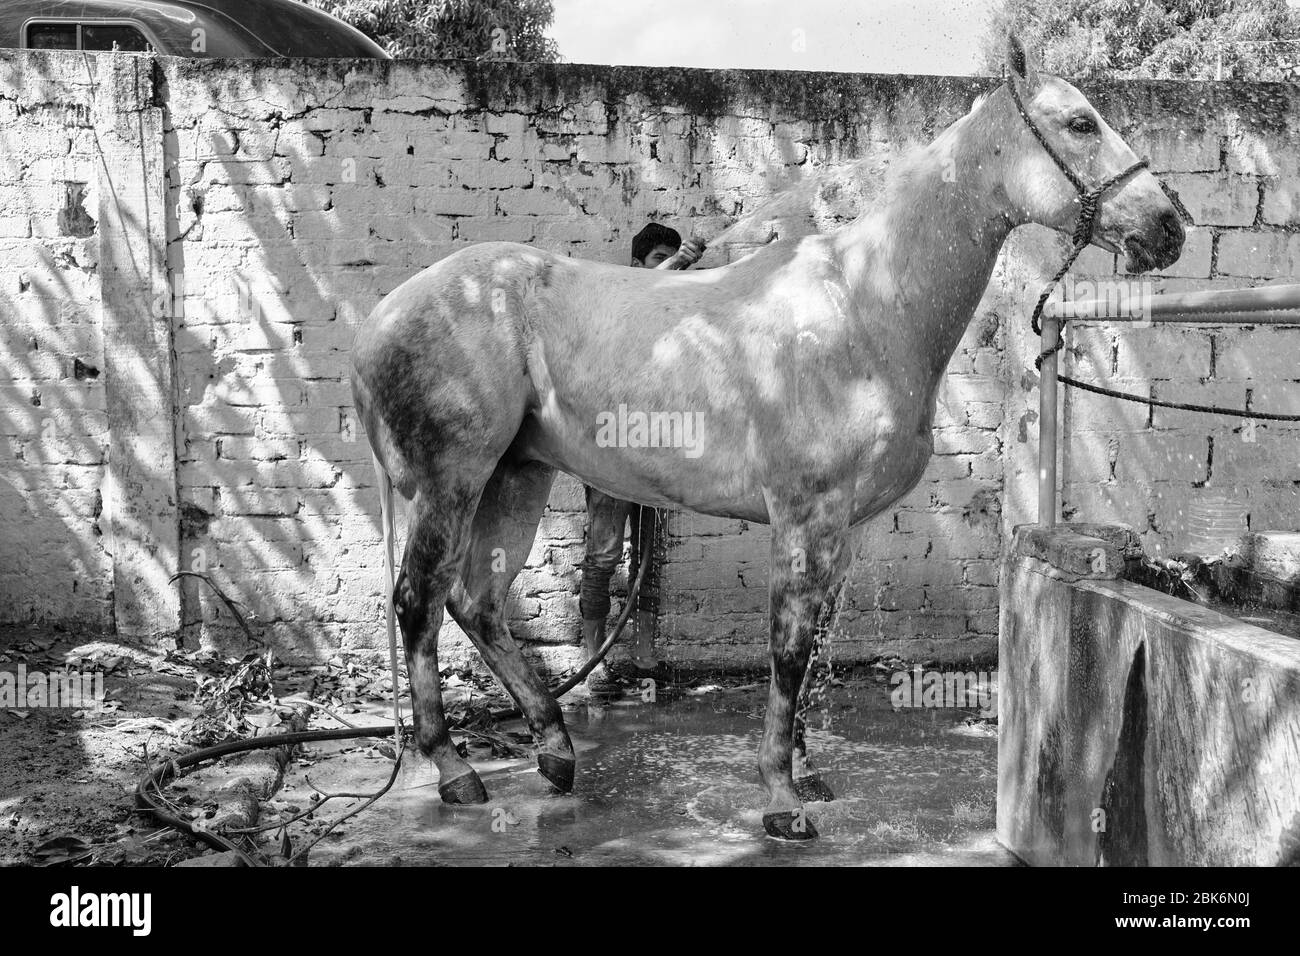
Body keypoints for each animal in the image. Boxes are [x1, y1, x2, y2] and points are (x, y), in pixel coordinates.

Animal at [351, 37, 1185, 842]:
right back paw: (455, 769)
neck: (866, 303)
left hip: (517, 475)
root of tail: (380, 316)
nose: (1169, 226)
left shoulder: (843, 527)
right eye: (1081, 123)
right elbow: (786, 649)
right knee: (419, 602)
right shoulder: (803, 515)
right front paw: (782, 801)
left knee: (478, 602)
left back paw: (555, 751)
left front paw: (807, 775)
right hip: (453, 481)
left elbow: (812, 648)